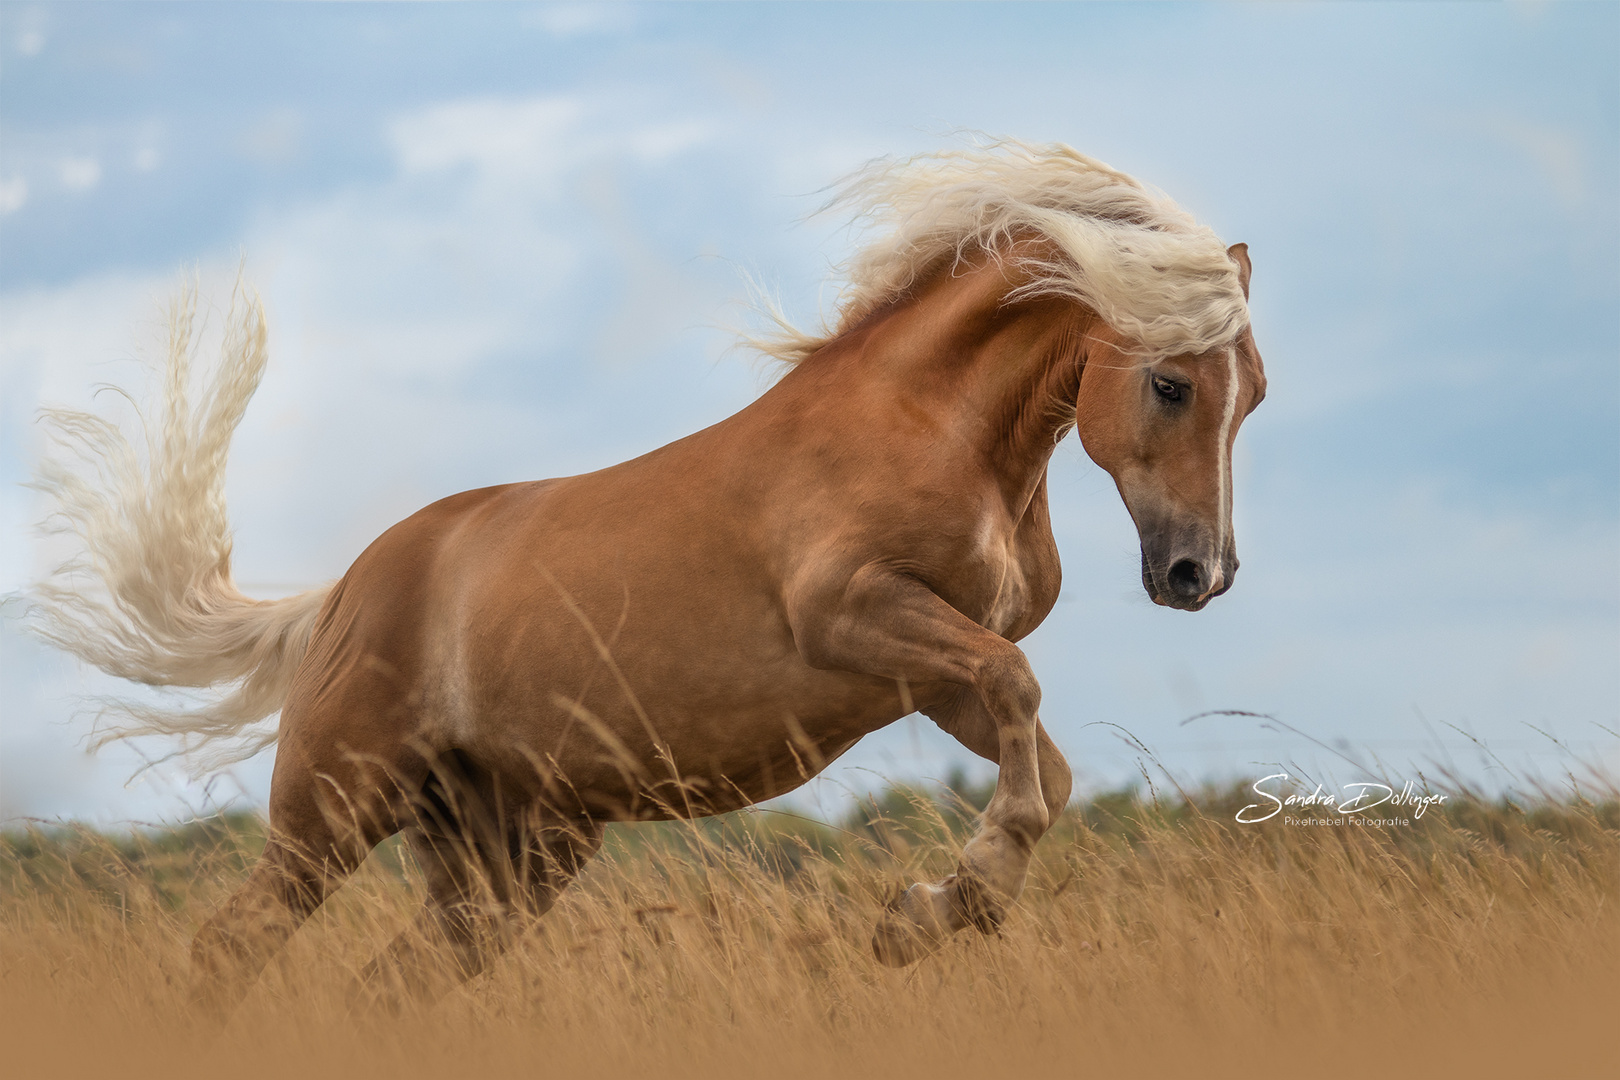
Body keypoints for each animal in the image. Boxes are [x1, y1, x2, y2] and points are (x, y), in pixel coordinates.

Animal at [28, 143, 1263, 1016]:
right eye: (1168, 384)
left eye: (1250, 394)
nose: (1198, 573)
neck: (927, 427)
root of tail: (342, 592)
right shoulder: (858, 618)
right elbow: (1020, 698)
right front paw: (926, 912)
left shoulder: (927, 673)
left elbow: (1043, 764)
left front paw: (931, 910)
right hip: (333, 809)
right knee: (226, 949)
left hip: (508, 854)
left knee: (385, 987)